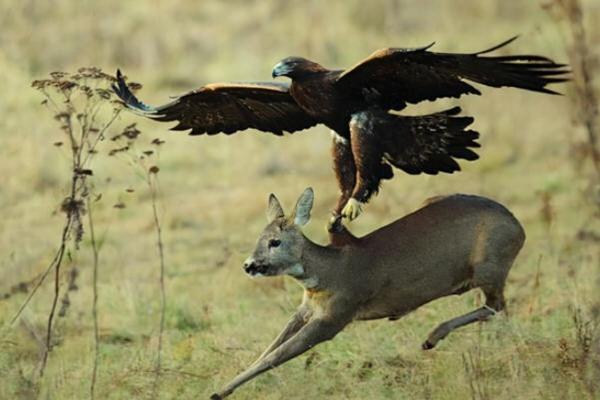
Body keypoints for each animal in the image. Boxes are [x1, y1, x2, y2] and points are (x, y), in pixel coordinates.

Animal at [211, 188, 524, 400]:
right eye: (259, 239)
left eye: (275, 242)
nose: (249, 265)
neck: (329, 271)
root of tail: (519, 228)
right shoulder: (306, 308)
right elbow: (269, 347)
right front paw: (224, 387)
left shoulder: (337, 314)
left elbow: (276, 355)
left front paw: (218, 392)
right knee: (496, 307)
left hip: (489, 265)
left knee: (497, 306)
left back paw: (433, 337)